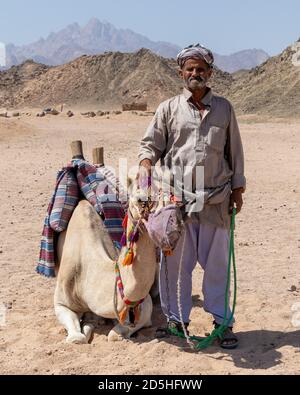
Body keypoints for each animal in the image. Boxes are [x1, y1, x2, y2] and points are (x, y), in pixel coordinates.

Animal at [54, 145, 159, 344]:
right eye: (135, 198)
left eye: (156, 198)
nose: (145, 202)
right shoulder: (60, 300)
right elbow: (77, 338)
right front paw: (87, 325)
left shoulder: (142, 305)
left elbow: (114, 334)